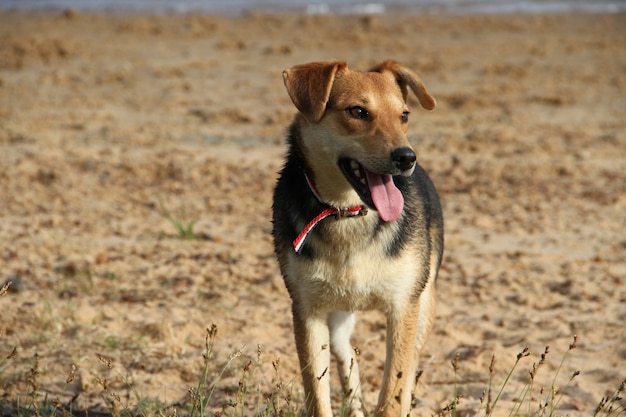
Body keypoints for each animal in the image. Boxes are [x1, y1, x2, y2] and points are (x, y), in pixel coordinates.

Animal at [270, 59, 442, 416]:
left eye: (404, 115)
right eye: (358, 112)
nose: (407, 157)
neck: (348, 213)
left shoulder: (404, 308)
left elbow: (394, 391)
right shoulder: (307, 311)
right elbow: (318, 396)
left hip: (424, 304)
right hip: (337, 316)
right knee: (346, 354)